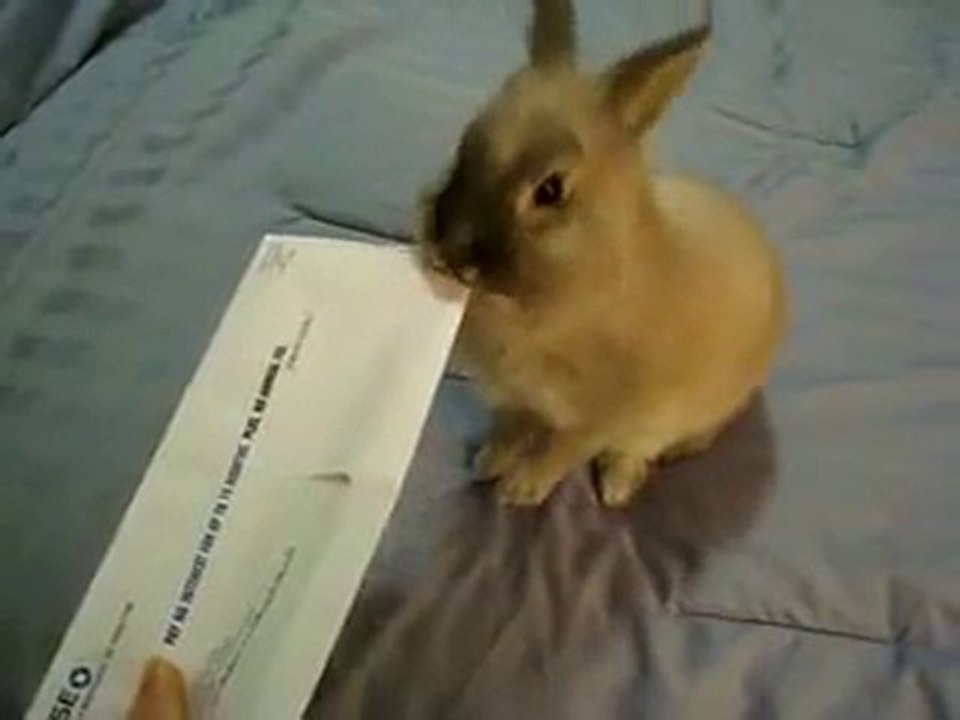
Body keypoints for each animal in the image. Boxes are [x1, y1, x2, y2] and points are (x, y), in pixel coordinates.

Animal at [416, 0, 787, 507]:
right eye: (467, 141)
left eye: (551, 189)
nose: (448, 251)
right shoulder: (515, 399)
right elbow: (509, 431)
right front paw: (487, 464)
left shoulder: (599, 419)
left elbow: (558, 453)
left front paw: (520, 491)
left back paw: (616, 487)